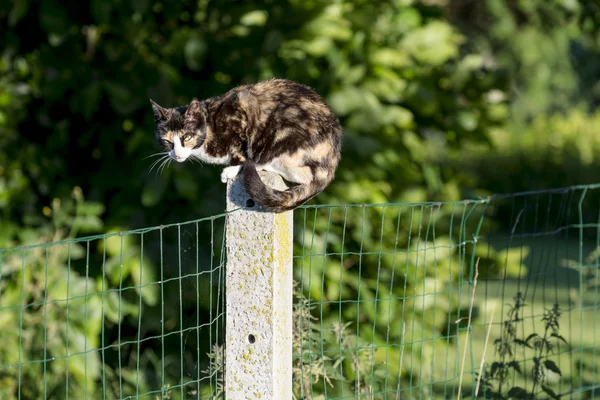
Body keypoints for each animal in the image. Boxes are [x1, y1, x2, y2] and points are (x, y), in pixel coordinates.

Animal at [150, 77, 342, 212]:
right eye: (167, 141)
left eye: (187, 137)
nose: (176, 154)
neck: (210, 127)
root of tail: (331, 166)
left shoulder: (240, 114)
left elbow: (241, 149)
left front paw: (232, 169)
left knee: (303, 175)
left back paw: (259, 164)